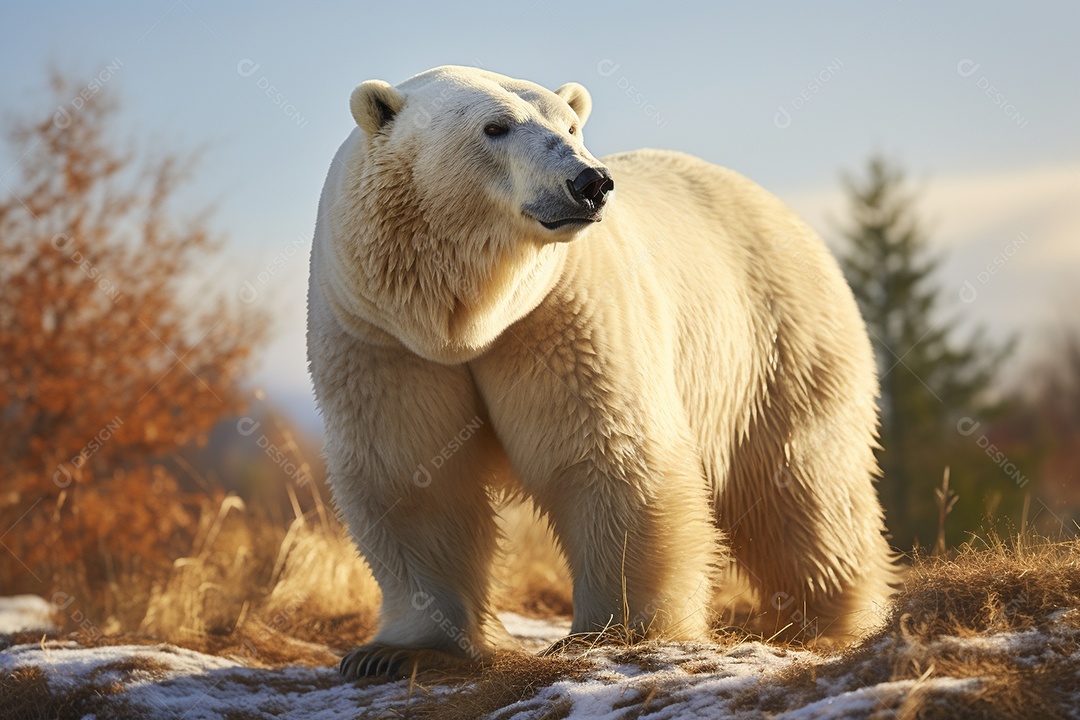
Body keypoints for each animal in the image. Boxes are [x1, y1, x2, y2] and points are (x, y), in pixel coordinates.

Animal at [306, 65, 899, 679]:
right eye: (495, 127)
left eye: (571, 125)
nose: (590, 182)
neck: (468, 321)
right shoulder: (382, 336)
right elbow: (413, 474)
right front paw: (396, 652)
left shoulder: (562, 312)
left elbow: (608, 455)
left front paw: (615, 633)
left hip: (779, 339)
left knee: (803, 484)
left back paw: (832, 619)